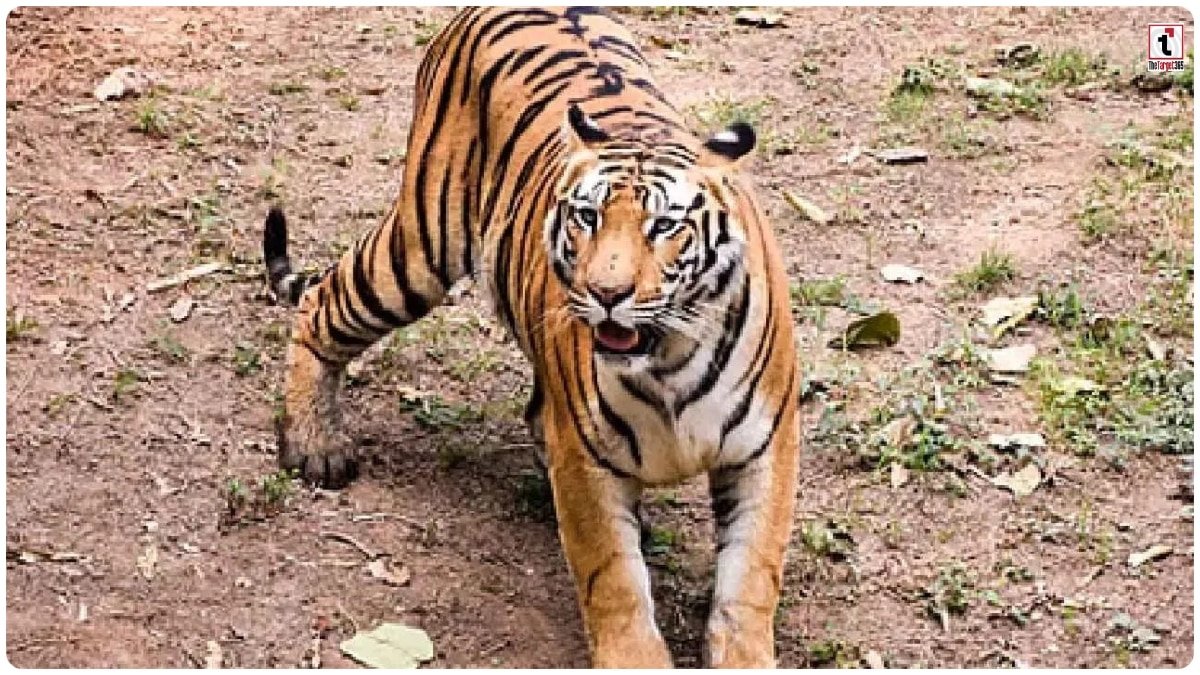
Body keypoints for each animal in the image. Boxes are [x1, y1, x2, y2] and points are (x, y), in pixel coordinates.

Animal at [263, 7, 800, 668]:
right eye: (588, 217)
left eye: (663, 226)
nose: (606, 291)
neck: (668, 361)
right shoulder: (586, 462)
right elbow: (614, 582)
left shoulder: (764, 452)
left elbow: (749, 580)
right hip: (419, 246)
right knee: (320, 304)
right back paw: (314, 445)